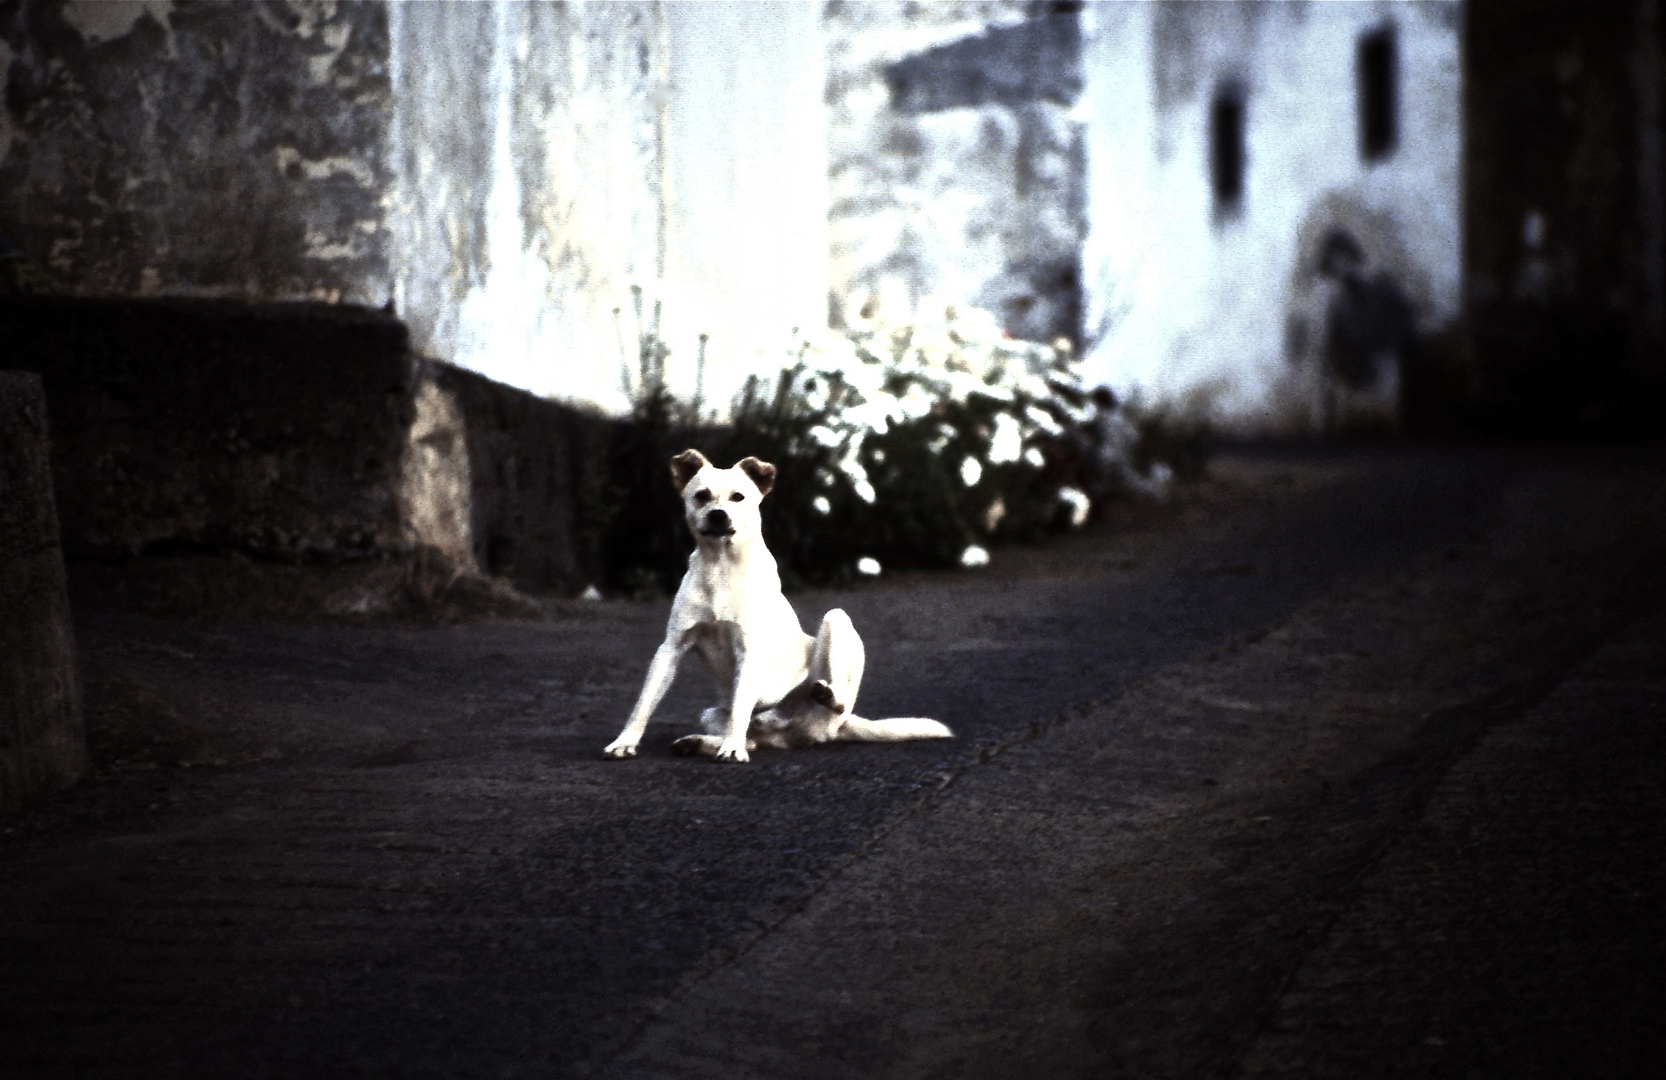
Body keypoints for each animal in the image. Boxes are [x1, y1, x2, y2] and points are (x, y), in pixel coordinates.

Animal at [609, 450, 952, 763]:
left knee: (833, 704)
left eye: (738, 497)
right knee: (754, 737)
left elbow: (740, 709)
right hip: (711, 713)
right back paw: (701, 742)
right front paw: (625, 742)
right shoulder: (671, 648)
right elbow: (644, 703)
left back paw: (823, 697)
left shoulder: (748, 651)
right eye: (701, 496)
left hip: (837, 621)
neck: (720, 567)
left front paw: (730, 749)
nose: (718, 515)